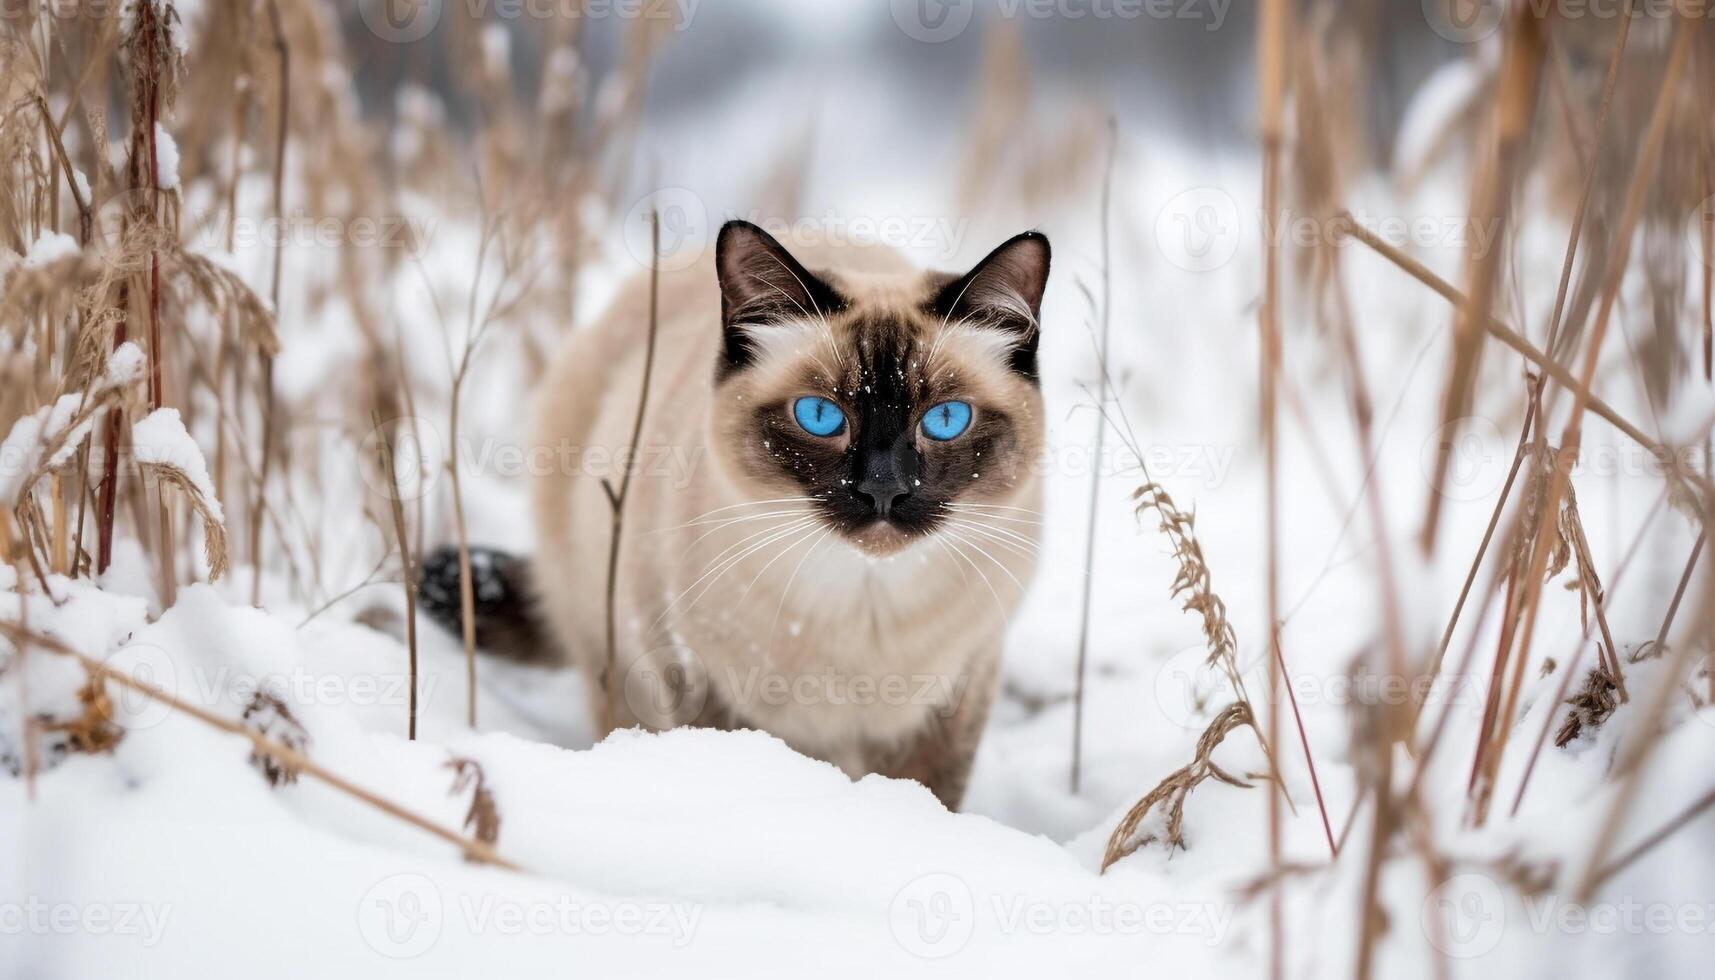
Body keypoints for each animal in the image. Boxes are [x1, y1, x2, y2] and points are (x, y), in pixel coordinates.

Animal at [421, 223, 1049, 813]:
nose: (883, 491)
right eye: (819, 416)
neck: (863, 604)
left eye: (945, 420)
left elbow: (928, 797)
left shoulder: (956, 700)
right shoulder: (701, 687)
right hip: (610, 648)